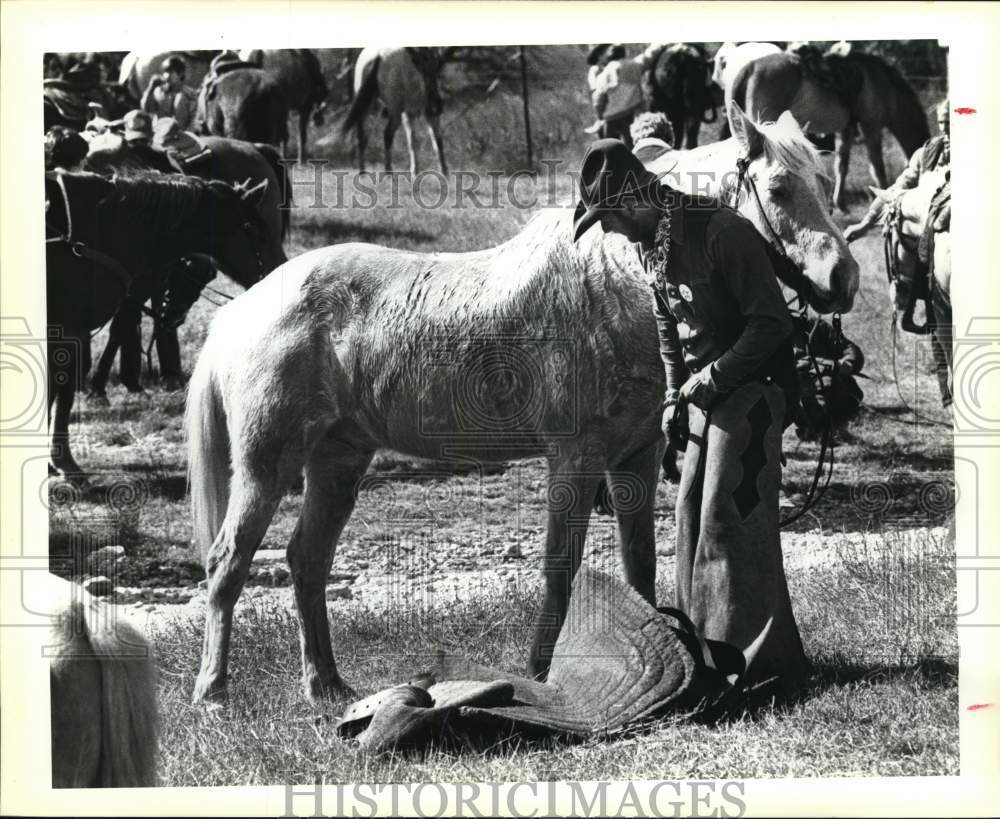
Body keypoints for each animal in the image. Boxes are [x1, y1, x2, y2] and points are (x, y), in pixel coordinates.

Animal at [184, 102, 858, 705]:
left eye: (824, 184)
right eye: (780, 188)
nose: (843, 280)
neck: (614, 281)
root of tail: (242, 311)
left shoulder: (635, 457)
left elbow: (639, 563)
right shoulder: (575, 458)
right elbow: (561, 565)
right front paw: (542, 666)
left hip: (337, 463)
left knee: (306, 561)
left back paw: (326, 686)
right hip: (266, 468)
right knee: (228, 563)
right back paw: (214, 693)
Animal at [342, 46, 447, 175]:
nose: (438, 104)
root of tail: (378, 56)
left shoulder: (412, 114)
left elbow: (418, 141)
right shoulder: (421, 112)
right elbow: (431, 140)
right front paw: (441, 172)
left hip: (367, 106)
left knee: (362, 136)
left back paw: (363, 172)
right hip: (395, 110)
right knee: (387, 134)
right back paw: (388, 172)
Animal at [727, 50, 930, 211]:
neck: (885, 84)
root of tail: (750, 68)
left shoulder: (845, 130)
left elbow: (842, 165)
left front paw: (840, 204)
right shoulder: (871, 127)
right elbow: (877, 167)